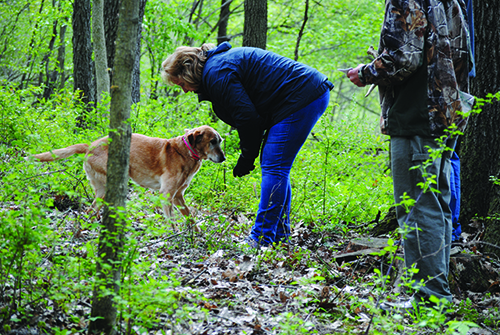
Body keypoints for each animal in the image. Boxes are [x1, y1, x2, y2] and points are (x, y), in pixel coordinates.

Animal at [30, 126, 226, 231]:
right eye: (212, 142)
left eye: (220, 141)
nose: (224, 158)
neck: (187, 152)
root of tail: (90, 146)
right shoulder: (166, 194)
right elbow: (172, 220)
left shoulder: (178, 196)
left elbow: (189, 217)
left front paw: (197, 234)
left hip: (100, 192)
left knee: (89, 211)